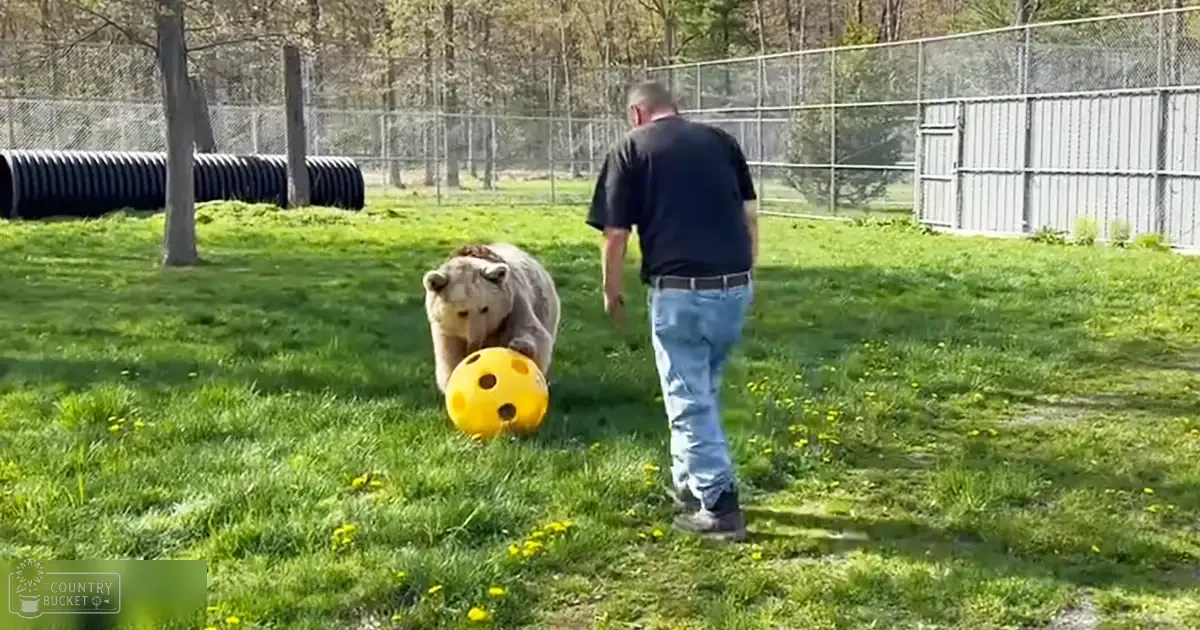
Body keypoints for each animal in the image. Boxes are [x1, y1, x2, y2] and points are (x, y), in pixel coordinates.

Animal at [422, 243, 560, 393]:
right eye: (462, 312)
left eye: (485, 308)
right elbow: (449, 359)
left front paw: (520, 346)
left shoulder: (513, 305)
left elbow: (533, 331)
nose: (475, 342)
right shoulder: (446, 330)